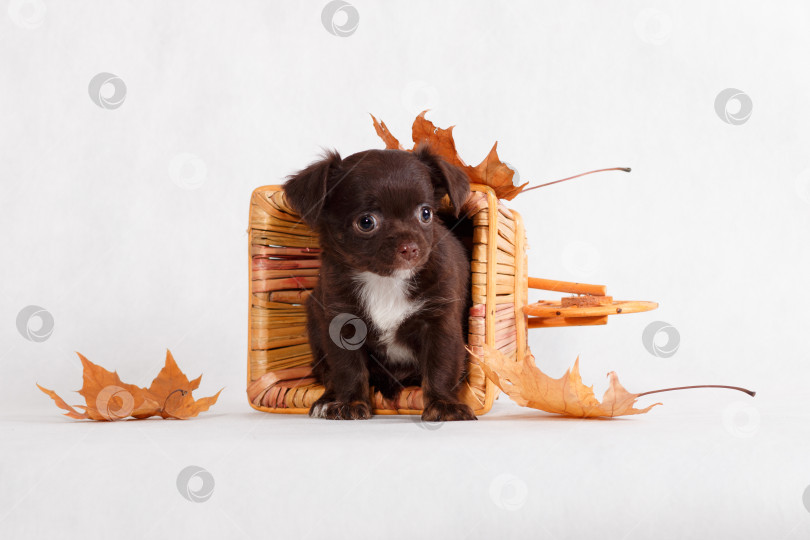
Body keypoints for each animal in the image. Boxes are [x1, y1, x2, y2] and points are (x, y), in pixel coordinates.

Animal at [282, 143, 476, 422]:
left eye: (426, 214)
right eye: (366, 222)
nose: (410, 248)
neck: (385, 281)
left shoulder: (440, 321)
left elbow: (440, 366)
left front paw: (444, 405)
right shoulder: (342, 323)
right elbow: (347, 368)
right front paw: (350, 402)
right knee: (329, 373)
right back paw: (327, 400)